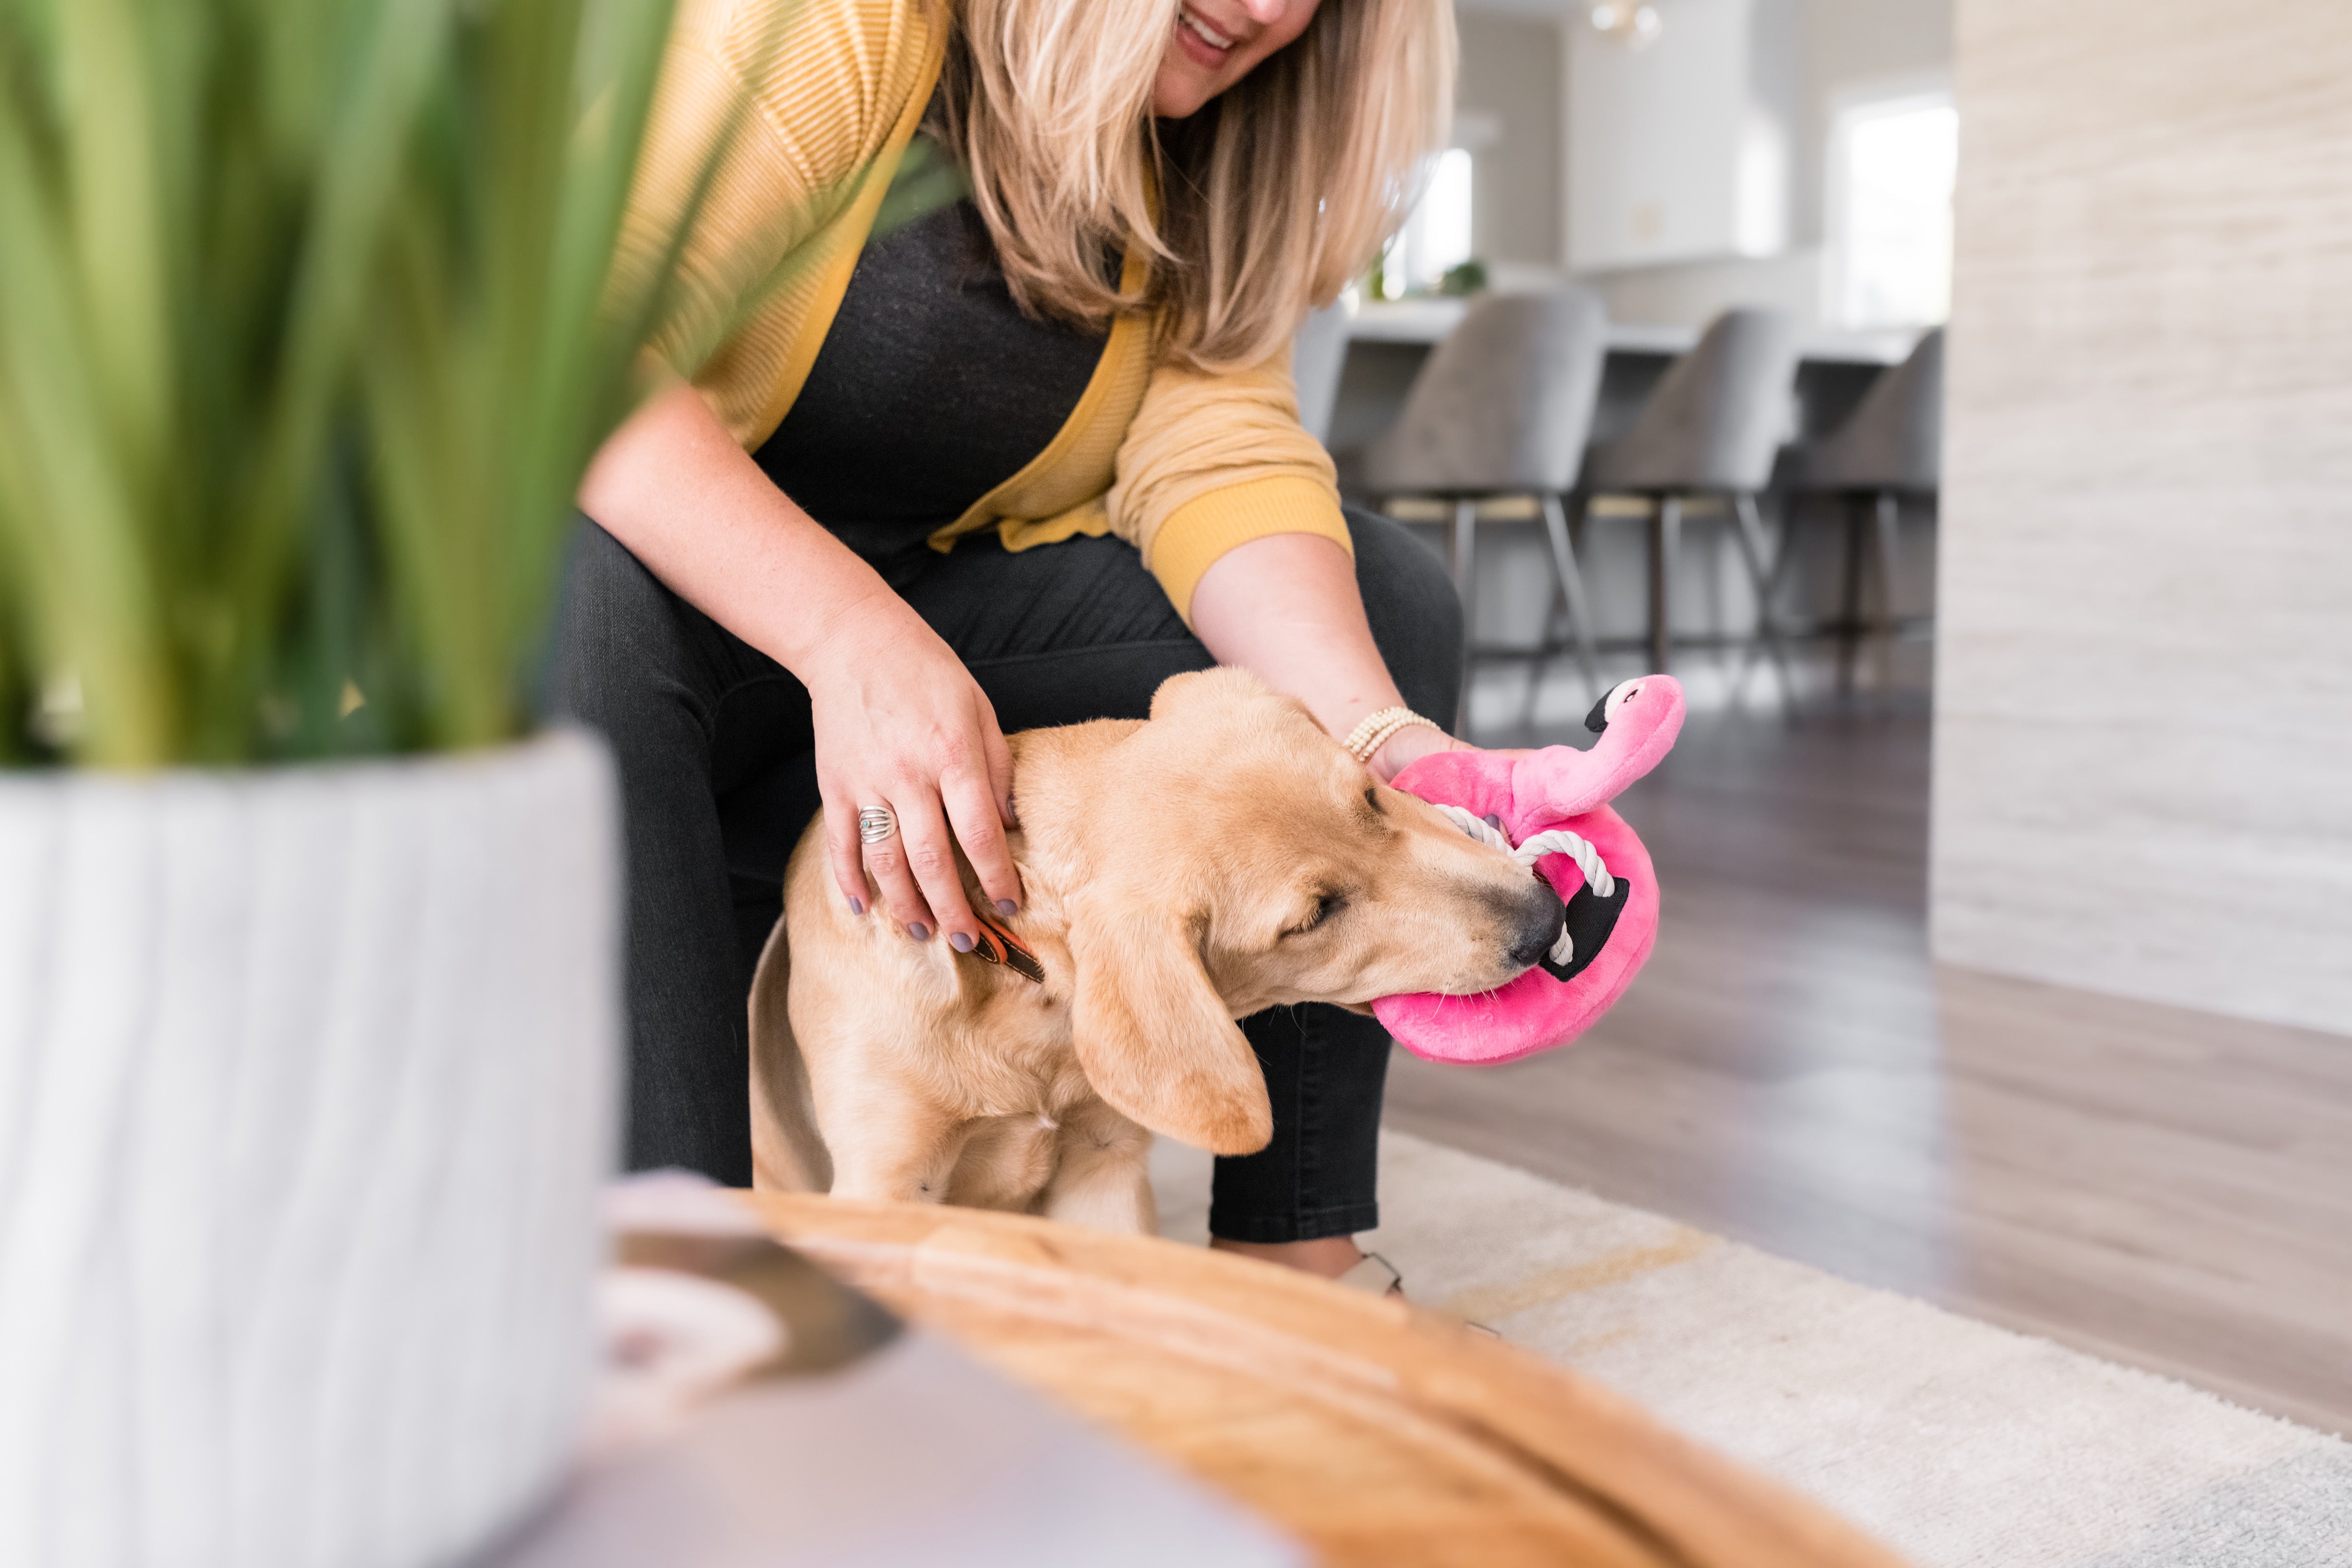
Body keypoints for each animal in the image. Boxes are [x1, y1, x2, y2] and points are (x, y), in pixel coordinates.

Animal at [753, 668, 1562, 1232]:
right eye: (1314, 916)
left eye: (1368, 797)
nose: (1546, 918)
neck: (1020, 981)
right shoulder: (887, 1187)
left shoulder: (1103, 1168)